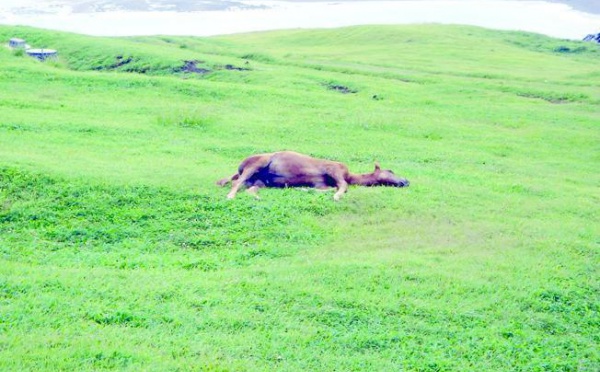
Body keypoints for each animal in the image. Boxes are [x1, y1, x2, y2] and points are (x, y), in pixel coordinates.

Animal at [216, 150, 408, 201]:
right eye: (390, 170)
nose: (406, 181)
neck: (350, 175)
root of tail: (240, 167)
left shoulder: (321, 184)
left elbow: (326, 188)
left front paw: (302, 190)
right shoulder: (334, 170)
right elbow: (344, 187)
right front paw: (337, 197)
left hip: (259, 182)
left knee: (249, 188)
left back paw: (256, 197)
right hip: (257, 163)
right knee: (236, 182)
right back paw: (230, 196)